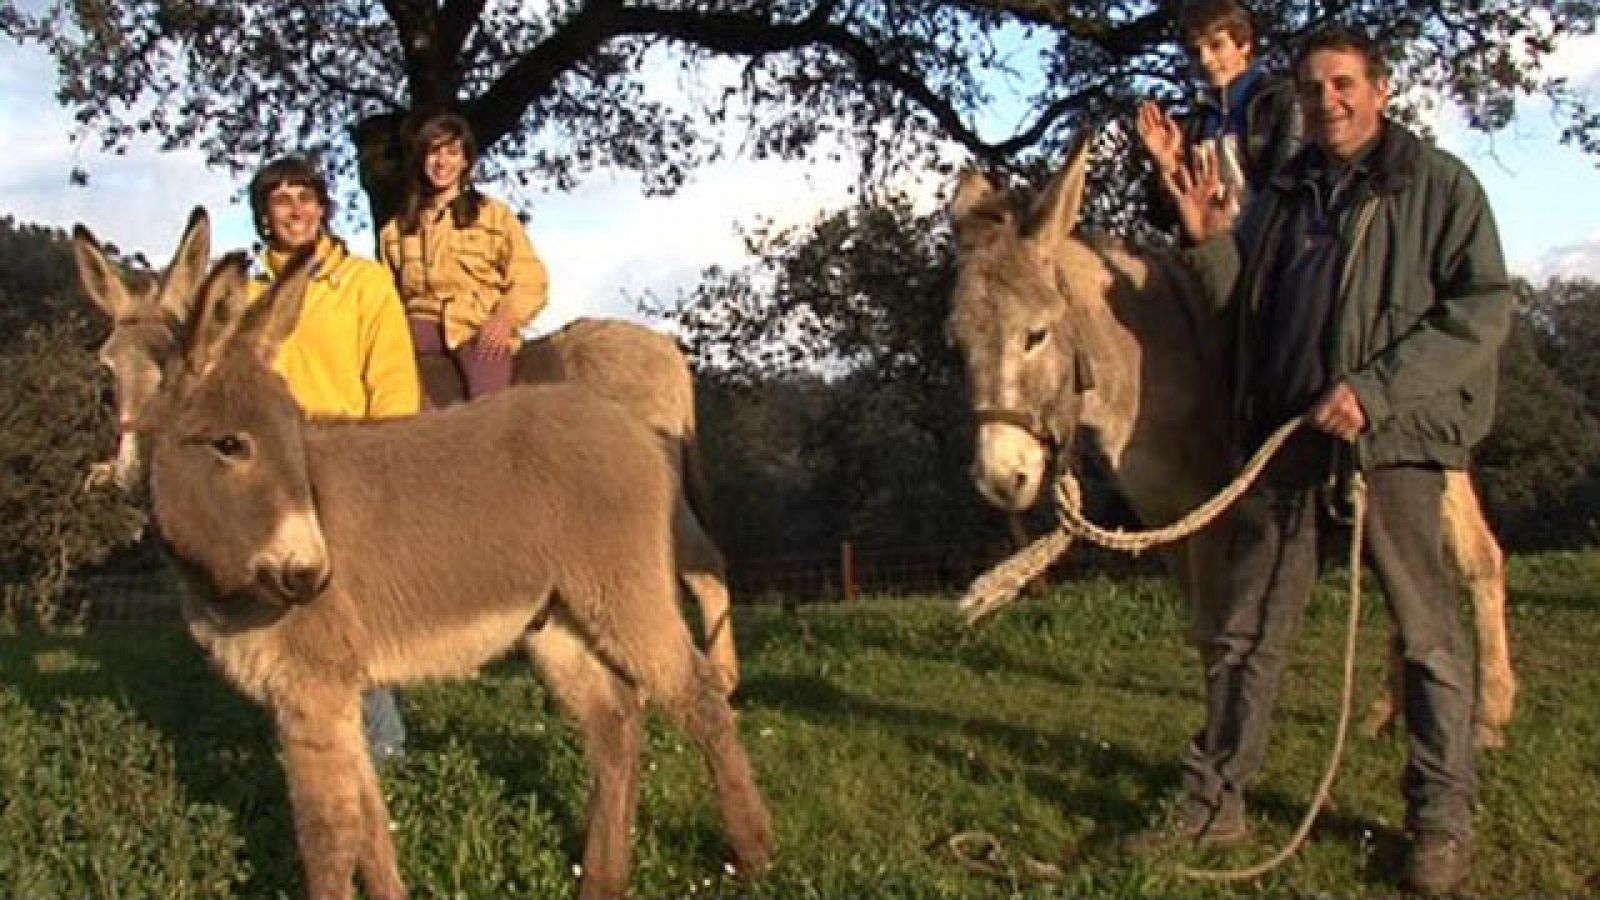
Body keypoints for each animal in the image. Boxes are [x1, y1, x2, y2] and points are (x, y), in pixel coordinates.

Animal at [147, 249, 771, 896]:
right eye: (228, 444)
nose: (310, 580)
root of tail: (626, 421)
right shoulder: (330, 697)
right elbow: (370, 821)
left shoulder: (311, 692)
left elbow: (328, 837)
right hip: (553, 620)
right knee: (615, 717)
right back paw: (603, 878)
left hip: (624, 592)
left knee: (696, 689)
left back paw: (752, 851)